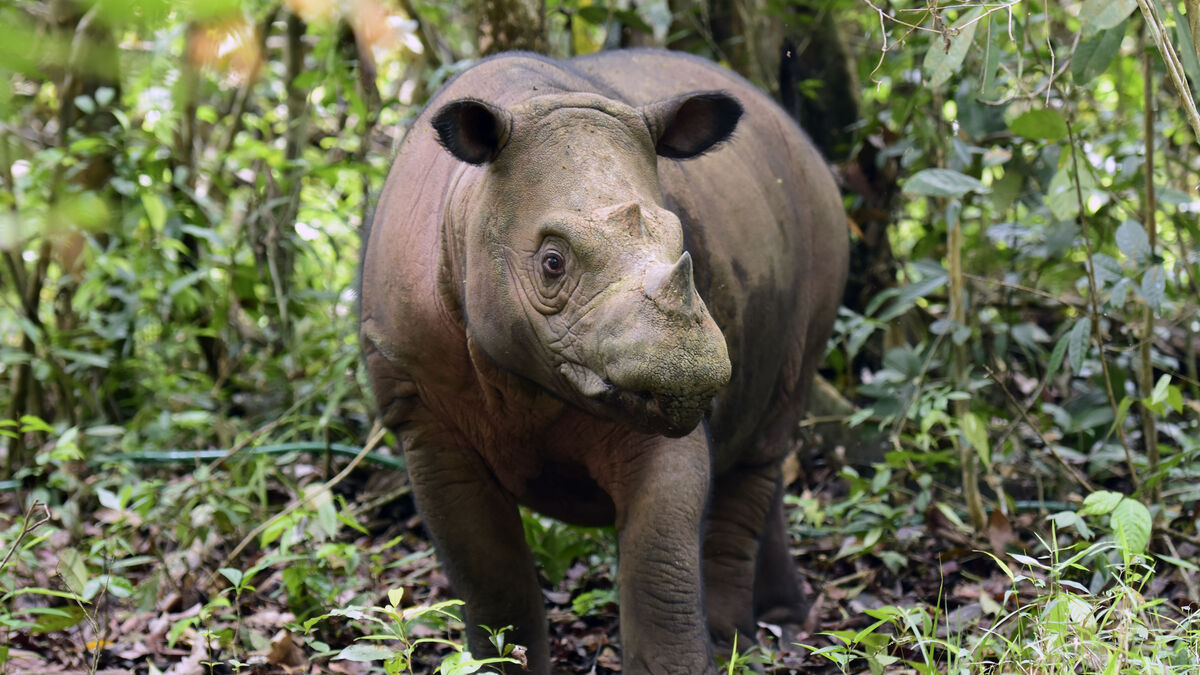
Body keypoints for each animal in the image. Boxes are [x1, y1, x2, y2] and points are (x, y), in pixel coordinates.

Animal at [359, 48, 848, 674]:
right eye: (551, 263)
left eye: (681, 242)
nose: (691, 370)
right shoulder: (420, 408)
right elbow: (491, 580)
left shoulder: (653, 402)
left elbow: (660, 570)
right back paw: (777, 625)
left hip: (823, 219)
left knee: (769, 436)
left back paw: (745, 640)